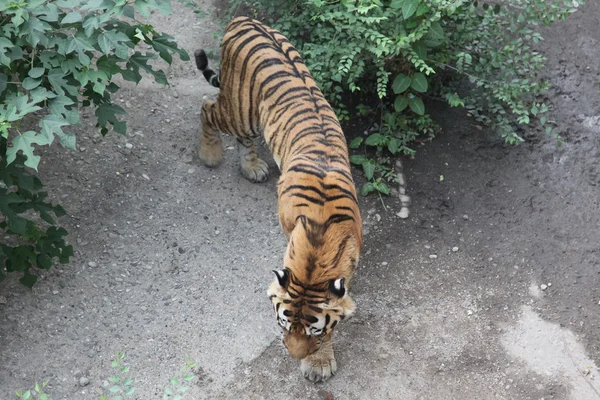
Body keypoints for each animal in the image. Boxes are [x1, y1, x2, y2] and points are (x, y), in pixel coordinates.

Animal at [195, 17, 364, 382]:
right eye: (284, 324)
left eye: (314, 331)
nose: (293, 354)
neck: (317, 252)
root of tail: (242, 19)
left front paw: (317, 362)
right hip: (239, 111)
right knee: (207, 108)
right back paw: (210, 155)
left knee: (239, 136)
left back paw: (252, 167)